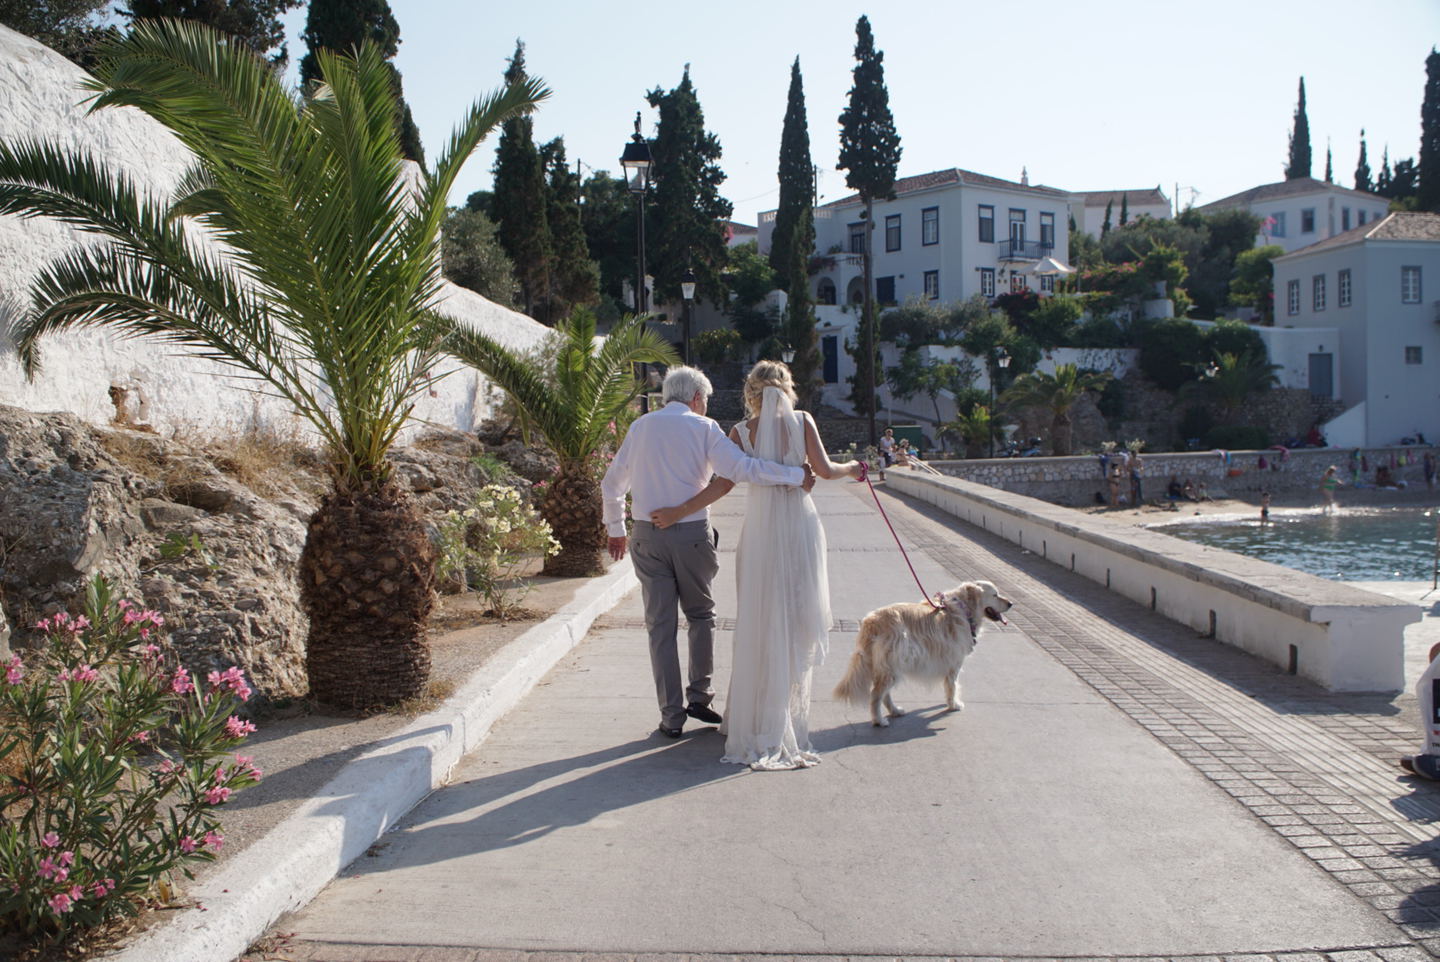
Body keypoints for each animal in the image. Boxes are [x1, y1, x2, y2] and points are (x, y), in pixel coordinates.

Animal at [835, 578, 1013, 728]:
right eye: (995, 595)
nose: (1011, 603)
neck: (965, 608)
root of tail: (871, 621)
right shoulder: (954, 662)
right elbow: (952, 685)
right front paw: (953, 704)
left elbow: (950, 685)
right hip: (892, 664)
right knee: (876, 695)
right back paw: (879, 720)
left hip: (889, 666)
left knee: (884, 694)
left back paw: (895, 711)